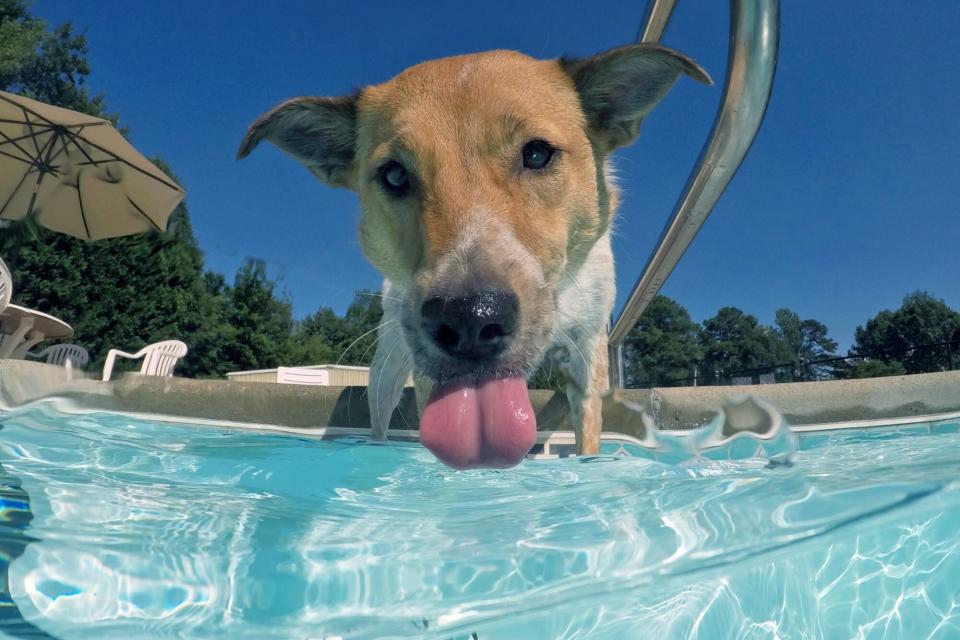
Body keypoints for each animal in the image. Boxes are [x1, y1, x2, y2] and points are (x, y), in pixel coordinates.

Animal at [236, 43, 708, 464]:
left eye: (537, 153)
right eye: (394, 174)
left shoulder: (588, 343)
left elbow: (588, 425)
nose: (469, 319)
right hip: (389, 360)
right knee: (380, 412)